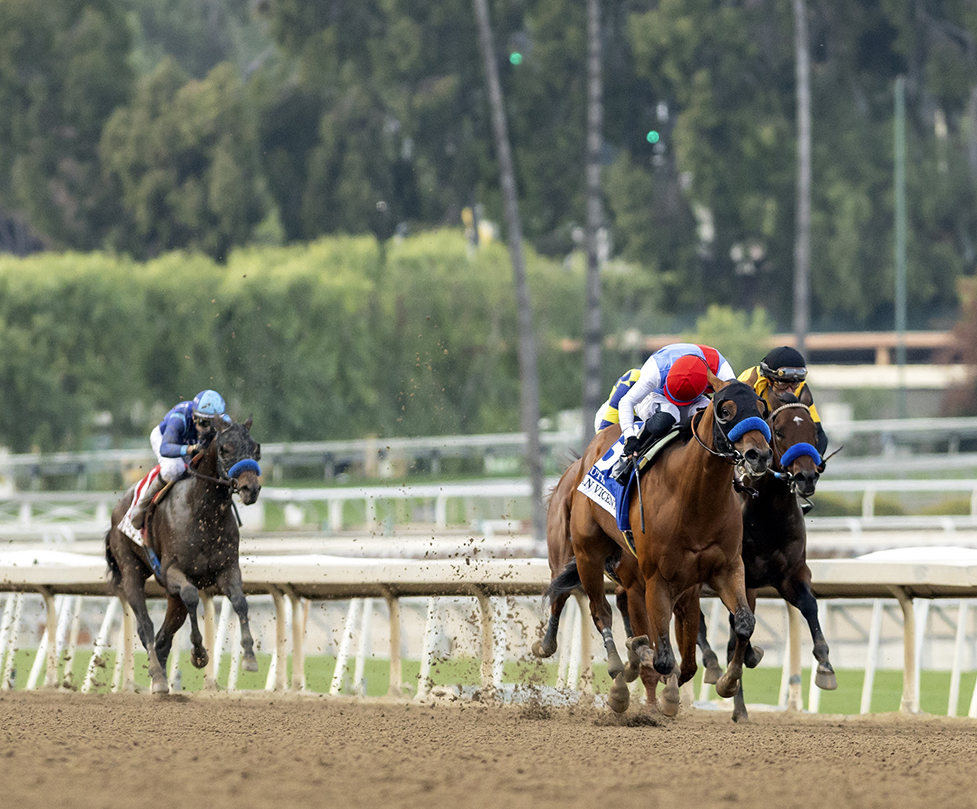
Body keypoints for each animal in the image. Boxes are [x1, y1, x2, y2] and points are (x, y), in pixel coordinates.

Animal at [105, 416, 262, 696]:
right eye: (225, 449)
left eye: (255, 448)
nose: (250, 488)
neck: (203, 511)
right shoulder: (173, 572)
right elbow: (191, 596)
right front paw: (198, 654)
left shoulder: (227, 569)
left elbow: (240, 601)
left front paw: (249, 656)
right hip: (131, 571)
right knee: (146, 627)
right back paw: (158, 678)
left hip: (171, 596)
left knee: (163, 637)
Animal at [696, 392, 836, 720]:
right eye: (780, 431)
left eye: (814, 431)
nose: (806, 476)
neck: (769, 513)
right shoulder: (742, 578)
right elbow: (739, 628)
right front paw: (741, 666)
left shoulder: (791, 575)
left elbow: (809, 605)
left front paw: (825, 667)